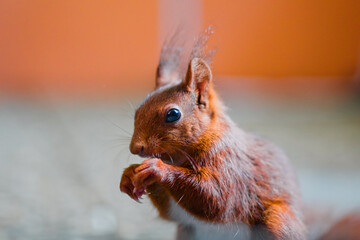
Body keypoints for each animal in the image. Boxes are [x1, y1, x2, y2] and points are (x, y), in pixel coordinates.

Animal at [119, 30, 358, 240]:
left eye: (173, 114)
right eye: (137, 110)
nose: (135, 148)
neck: (179, 157)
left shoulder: (230, 166)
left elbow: (216, 198)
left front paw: (157, 169)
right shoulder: (180, 214)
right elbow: (172, 211)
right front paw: (129, 175)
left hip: (278, 220)